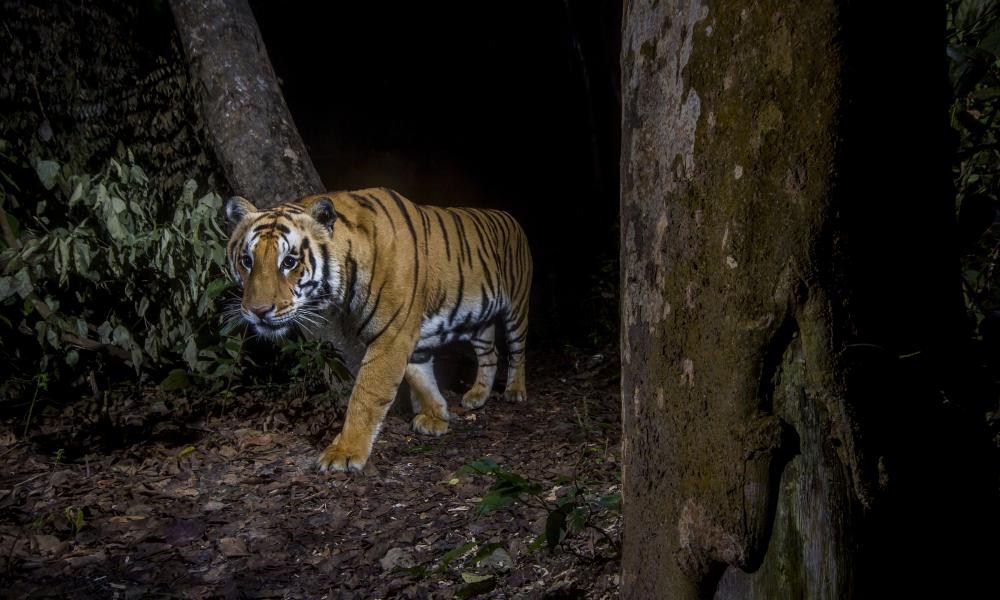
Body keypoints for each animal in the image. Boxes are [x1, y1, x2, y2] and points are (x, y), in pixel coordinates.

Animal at [226, 188, 536, 474]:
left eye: (289, 262)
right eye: (247, 261)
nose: (258, 310)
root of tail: (510, 217)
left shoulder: (393, 335)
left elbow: (366, 395)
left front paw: (344, 452)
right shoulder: (410, 337)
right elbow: (420, 376)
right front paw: (436, 415)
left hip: (517, 304)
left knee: (518, 349)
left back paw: (515, 391)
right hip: (478, 320)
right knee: (490, 354)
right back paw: (477, 396)